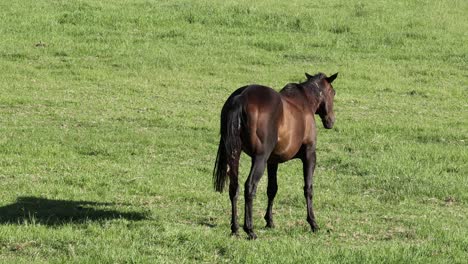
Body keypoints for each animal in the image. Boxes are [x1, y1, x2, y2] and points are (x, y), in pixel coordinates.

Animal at [214, 71, 338, 239]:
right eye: (333, 92)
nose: (330, 121)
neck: (304, 102)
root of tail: (241, 97)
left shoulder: (272, 161)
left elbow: (272, 189)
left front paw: (269, 221)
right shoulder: (309, 154)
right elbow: (308, 188)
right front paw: (313, 223)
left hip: (234, 154)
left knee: (234, 187)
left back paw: (235, 228)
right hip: (259, 158)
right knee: (249, 187)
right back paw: (250, 229)